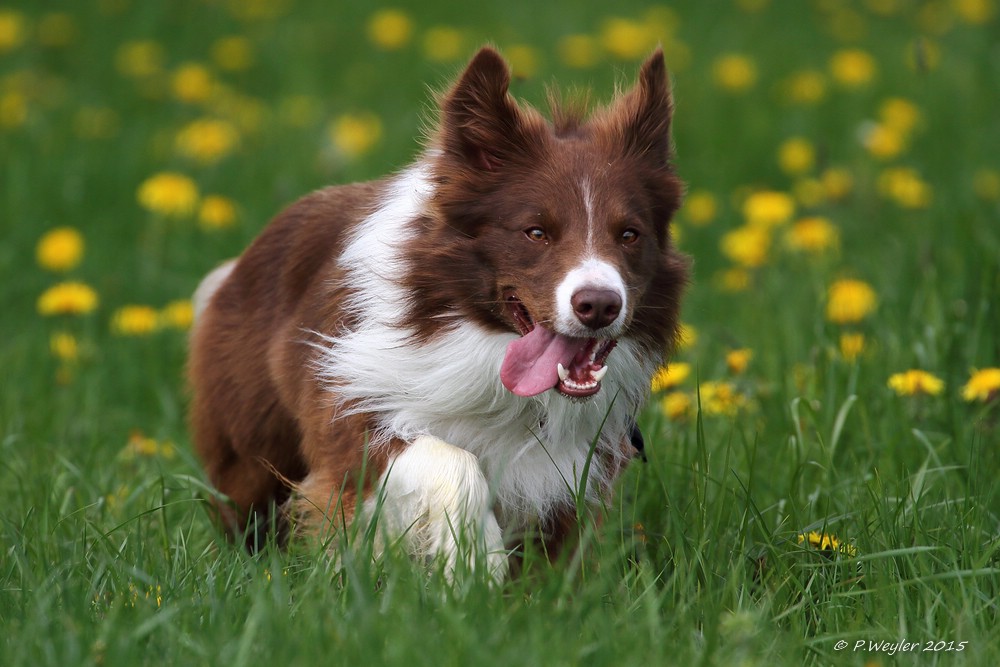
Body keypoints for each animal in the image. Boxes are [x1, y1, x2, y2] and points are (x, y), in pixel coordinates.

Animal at [188, 45, 688, 580]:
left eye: (629, 234)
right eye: (536, 232)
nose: (599, 305)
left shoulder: (578, 464)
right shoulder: (351, 406)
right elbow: (451, 460)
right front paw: (476, 566)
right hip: (249, 438)